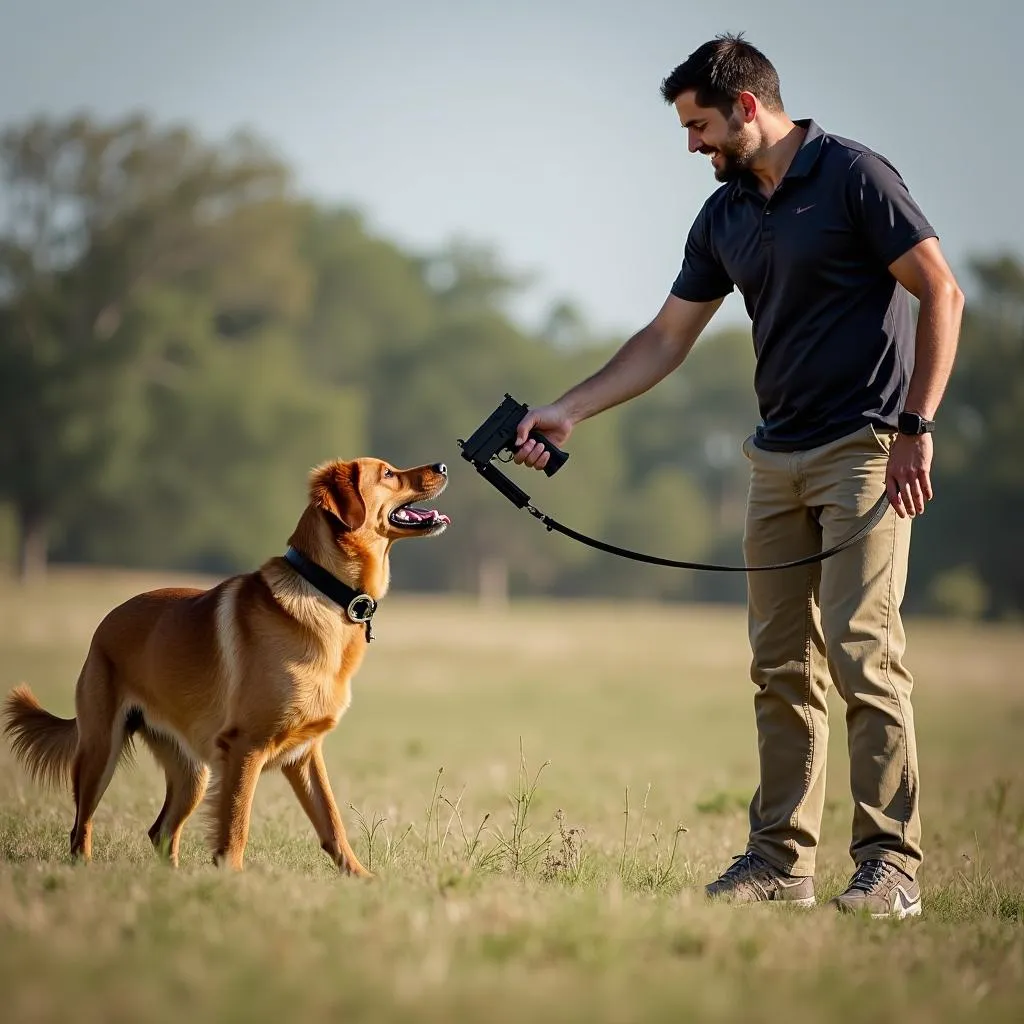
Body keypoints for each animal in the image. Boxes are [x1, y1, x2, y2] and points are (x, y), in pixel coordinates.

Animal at [2, 456, 448, 872]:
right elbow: (236, 825)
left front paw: (361, 879)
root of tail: (105, 623)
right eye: (388, 473)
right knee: (82, 826)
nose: (443, 465)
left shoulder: (305, 754)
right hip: (100, 751)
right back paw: (86, 868)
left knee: (161, 831)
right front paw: (232, 880)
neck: (326, 591)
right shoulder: (244, 747)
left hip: (192, 773)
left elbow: (332, 823)